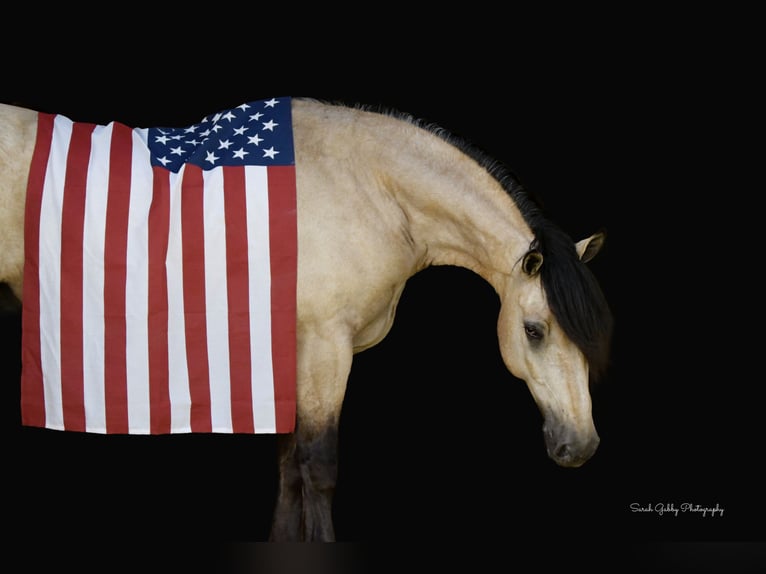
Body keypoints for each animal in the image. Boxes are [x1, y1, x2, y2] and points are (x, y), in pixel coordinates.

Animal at [0, 97, 612, 544]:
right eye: (534, 331)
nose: (580, 446)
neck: (372, 189)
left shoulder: (291, 352)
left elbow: (288, 464)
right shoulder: (325, 348)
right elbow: (318, 465)